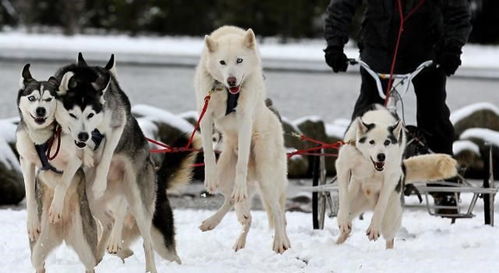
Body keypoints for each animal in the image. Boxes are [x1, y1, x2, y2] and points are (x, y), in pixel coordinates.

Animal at [193, 26, 292, 252]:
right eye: (222, 62)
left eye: (239, 60)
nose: (231, 80)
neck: (227, 92)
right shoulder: (205, 116)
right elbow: (208, 152)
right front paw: (209, 179)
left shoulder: (245, 119)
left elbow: (241, 164)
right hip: (226, 176)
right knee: (235, 202)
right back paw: (218, 222)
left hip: (267, 178)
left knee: (278, 211)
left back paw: (280, 242)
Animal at [334, 103, 458, 246]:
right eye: (371, 142)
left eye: (387, 142)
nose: (381, 156)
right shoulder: (343, 166)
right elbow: (343, 196)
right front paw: (342, 220)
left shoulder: (391, 176)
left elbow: (381, 204)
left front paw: (374, 228)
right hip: (354, 204)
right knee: (346, 230)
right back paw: (337, 242)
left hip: (390, 217)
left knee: (390, 238)